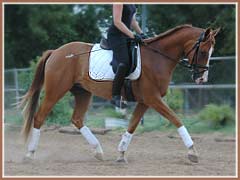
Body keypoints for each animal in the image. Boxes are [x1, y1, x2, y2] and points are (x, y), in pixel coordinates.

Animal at [20, 24, 219, 164]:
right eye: (203, 51)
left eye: (211, 52)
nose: (202, 78)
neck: (158, 58)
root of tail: (56, 52)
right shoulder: (153, 99)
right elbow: (176, 119)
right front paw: (192, 152)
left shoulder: (145, 101)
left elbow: (132, 125)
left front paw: (122, 153)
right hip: (55, 91)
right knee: (39, 117)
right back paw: (29, 154)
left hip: (83, 92)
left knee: (77, 119)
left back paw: (98, 151)